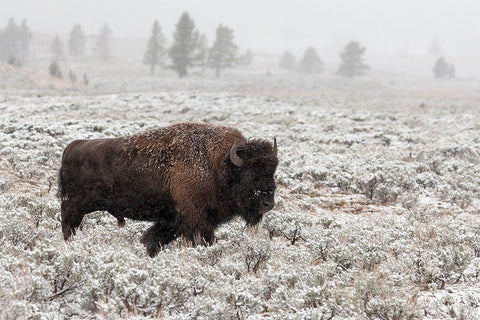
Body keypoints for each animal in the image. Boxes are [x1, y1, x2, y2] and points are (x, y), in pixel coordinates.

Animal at [58, 121, 280, 256]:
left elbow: (153, 238)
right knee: (68, 224)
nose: (268, 203)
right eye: (250, 174)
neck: (218, 165)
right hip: (76, 206)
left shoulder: (172, 220)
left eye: (272, 171)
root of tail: (71, 147)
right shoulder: (196, 220)